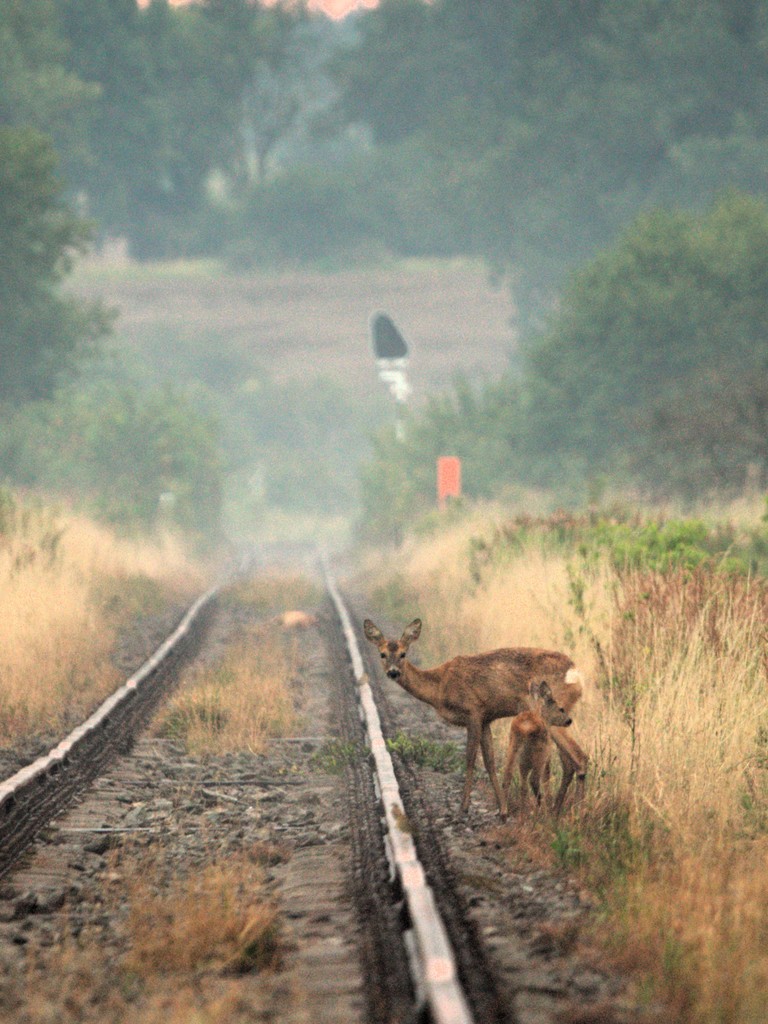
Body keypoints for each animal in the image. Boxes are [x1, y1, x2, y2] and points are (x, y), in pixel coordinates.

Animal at [360, 614, 589, 823]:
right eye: (382, 654)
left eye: (403, 653)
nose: (393, 673)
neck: (440, 687)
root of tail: (577, 674)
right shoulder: (486, 718)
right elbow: (489, 762)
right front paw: (502, 810)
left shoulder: (473, 712)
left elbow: (470, 759)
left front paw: (463, 809)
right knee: (569, 761)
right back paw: (557, 810)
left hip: (554, 714)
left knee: (579, 758)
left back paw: (576, 814)